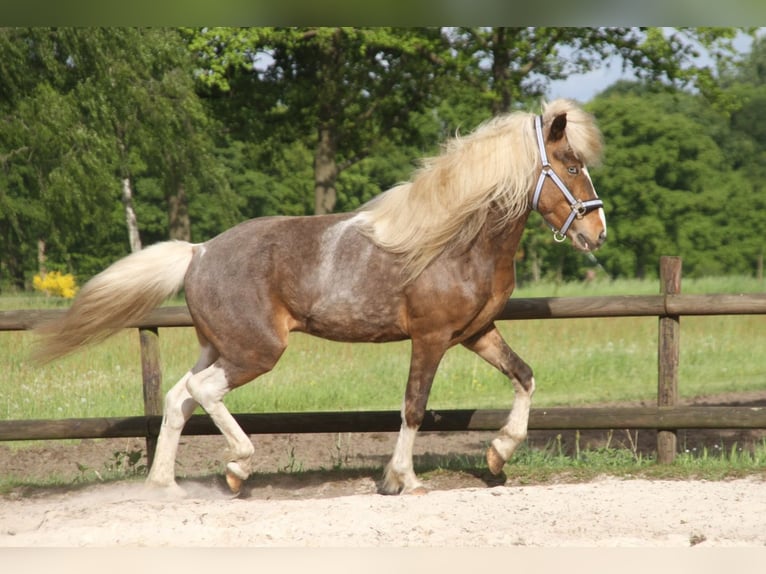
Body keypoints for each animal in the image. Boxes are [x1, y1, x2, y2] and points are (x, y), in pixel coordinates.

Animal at [33, 98, 606, 496]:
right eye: (572, 165)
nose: (596, 233)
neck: (453, 242)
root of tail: (199, 252)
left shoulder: (476, 333)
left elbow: (524, 377)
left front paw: (497, 456)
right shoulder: (431, 338)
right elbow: (414, 407)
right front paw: (402, 480)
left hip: (218, 345)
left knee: (179, 398)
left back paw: (165, 485)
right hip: (256, 351)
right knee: (203, 391)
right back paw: (237, 467)